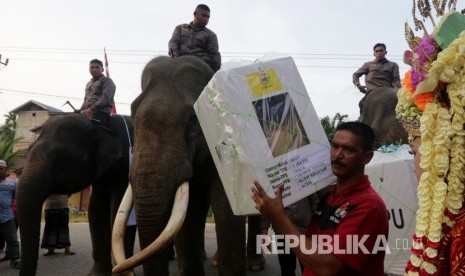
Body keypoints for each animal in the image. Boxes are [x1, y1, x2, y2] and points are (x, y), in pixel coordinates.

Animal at [17, 112, 133, 276]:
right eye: (28, 150)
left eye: (62, 158)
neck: (101, 126)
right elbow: (95, 212)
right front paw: (97, 274)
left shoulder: (124, 170)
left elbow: (118, 213)